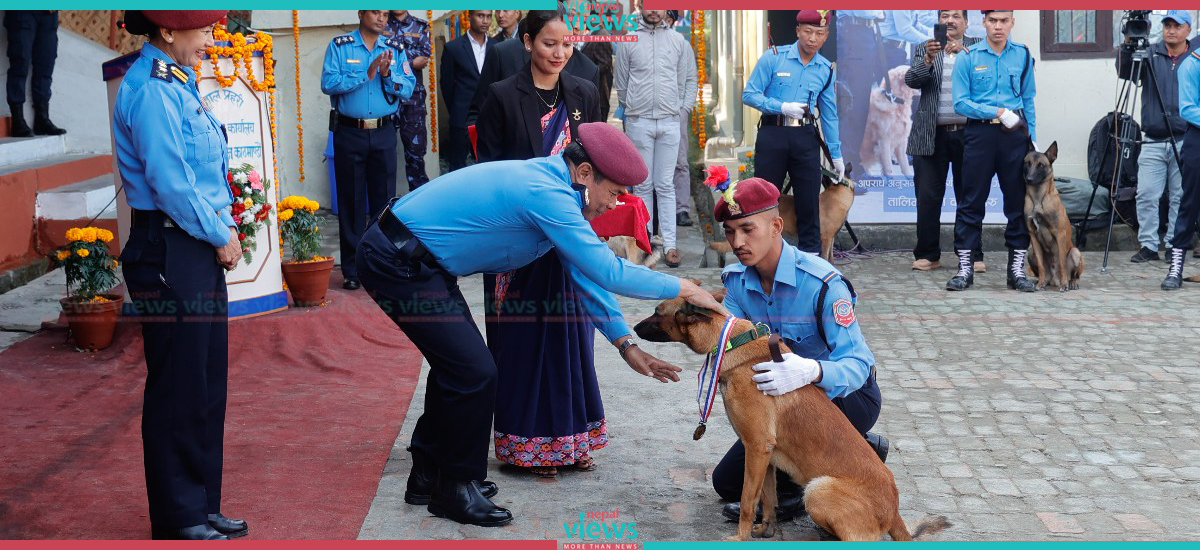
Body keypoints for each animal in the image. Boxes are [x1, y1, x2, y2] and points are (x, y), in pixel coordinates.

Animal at [633, 290, 950, 540]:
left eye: (657, 311)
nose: (633, 328)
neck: (734, 341)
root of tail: (894, 511)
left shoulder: (756, 448)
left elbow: (748, 500)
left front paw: (740, 536)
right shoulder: (766, 455)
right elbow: (767, 498)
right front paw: (766, 530)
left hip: (817, 489)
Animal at [1022, 140, 1089, 291]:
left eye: (1041, 165)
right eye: (1028, 163)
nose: (1029, 179)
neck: (1038, 198)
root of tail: (1053, 279)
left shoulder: (1059, 234)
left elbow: (1062, 263)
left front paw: (1064, 284)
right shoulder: (1033, 235)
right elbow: (1041, 265)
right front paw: (1040, 283)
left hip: (1075, 252)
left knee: (1073, 274)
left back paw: (1070, 283)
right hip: (1030, 251)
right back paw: (1042, 281)